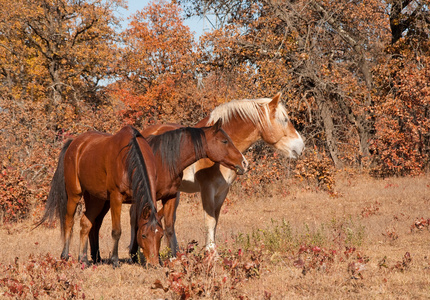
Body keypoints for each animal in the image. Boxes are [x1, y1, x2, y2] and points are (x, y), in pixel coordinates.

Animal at [34, 125, 163, 266]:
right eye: (144, 235)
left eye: (161, 236)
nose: (154, 263)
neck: (129, 157)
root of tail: (74, 144)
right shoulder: (116, 198)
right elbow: (116, 231)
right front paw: (115, 261)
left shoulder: (136, 200)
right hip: (75, 194)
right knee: (69, 221)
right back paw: (65, 256)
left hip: (98, 200)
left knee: (86, 222)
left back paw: (83, 259)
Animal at [85, 119, 247, 260]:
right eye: (224, 141)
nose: (243, 163)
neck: (163, 160)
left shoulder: (168, 196)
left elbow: (167, 226)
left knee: (94, 223)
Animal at [141, 92, 306, 254]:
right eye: (285, 120)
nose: (300, 146)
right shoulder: (207, 189)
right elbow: (209, 220)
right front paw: (211, 252)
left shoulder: (222, 191)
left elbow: (215, 220)